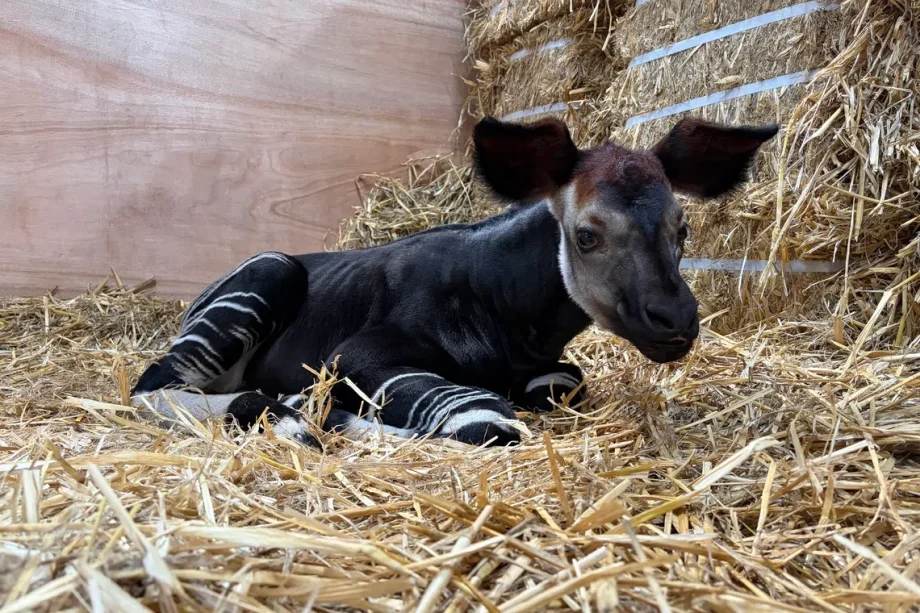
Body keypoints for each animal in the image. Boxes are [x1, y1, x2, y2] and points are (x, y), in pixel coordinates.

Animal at [131, 116, 778, 449]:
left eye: (683, 228)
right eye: (587, 235)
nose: (677, 320)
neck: (510, 314)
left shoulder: (550, 371)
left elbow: (562, 384)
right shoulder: (356, 355)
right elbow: (484, 415)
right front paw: (331, 417)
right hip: (267, 273)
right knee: (152, 386)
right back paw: (288, 414)